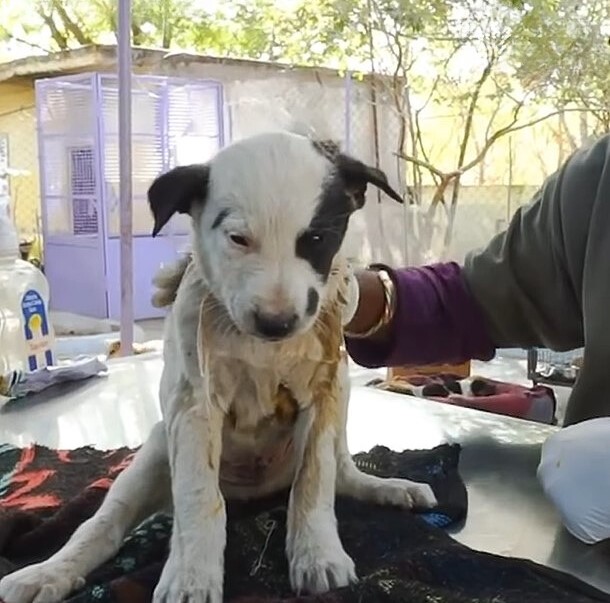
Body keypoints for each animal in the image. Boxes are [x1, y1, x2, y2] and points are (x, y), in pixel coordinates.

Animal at [1, 132, 436, 603]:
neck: (263, 351)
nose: (276, 323)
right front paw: (191, 576)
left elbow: (314, 483)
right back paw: (47, 573)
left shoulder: (323, 396)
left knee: (340, 474)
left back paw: (387, 488)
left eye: (317, 238)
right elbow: (198, 499)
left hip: (339, 412)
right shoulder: (194, 407)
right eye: (238, 239)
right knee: (103, 524)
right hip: (154, 453)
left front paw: (317, 553)